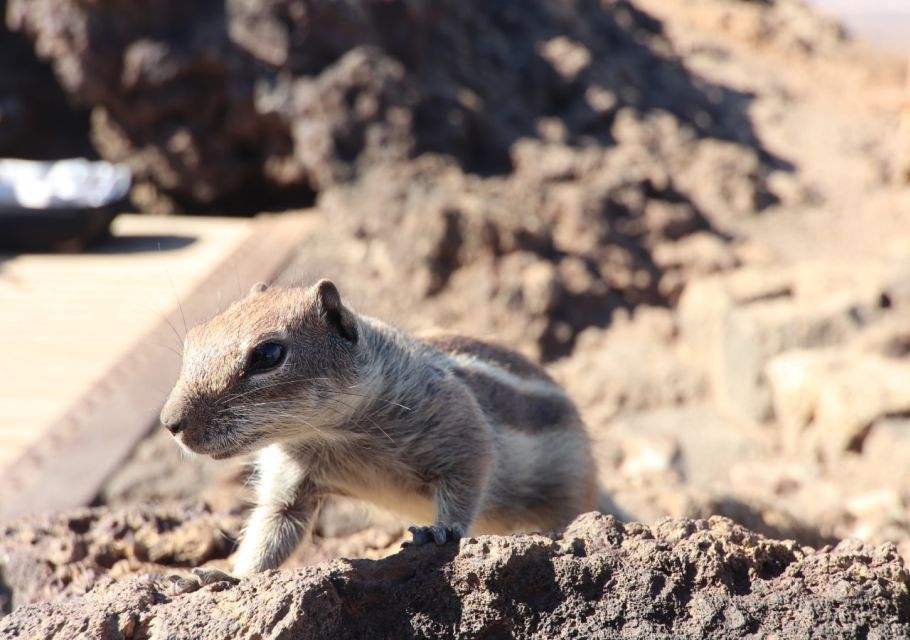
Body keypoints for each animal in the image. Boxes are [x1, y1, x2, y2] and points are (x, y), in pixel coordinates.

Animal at [160, 280, 604, 576]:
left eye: (268, 354)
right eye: (193, 338)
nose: (170, 423)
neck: (333, 432)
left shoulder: (461, 429)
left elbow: (467, 478)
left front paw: (441, 530)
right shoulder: (290, 483)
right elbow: (273, 530)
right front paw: (229, 577)